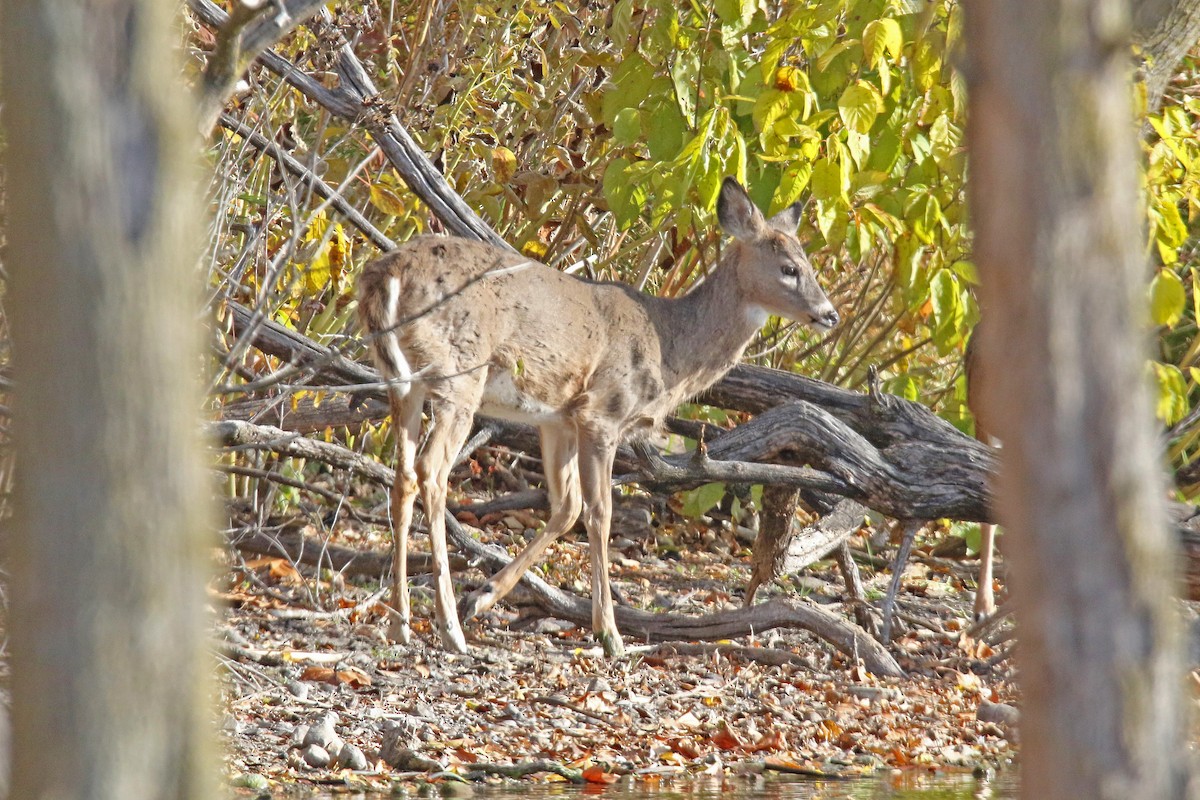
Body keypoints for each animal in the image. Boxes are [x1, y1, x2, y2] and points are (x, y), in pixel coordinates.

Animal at [356, 178, 839, 657]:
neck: (669, 347)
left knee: (403, 474)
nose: (829, 314)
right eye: (789, 268)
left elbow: (566, 507)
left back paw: (401, 623)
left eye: (808, 263)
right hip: (460, 375)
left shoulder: (558, 418)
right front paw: (609, 633)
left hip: (403, 381)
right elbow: (600, 513)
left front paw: (484, 596)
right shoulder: (603, 412)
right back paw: (449, 628)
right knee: (432, 471)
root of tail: (388, 272)